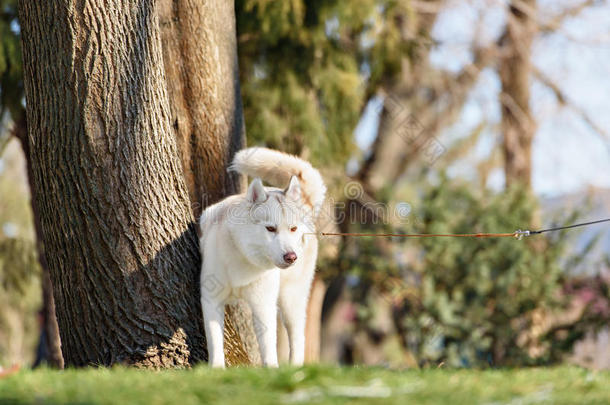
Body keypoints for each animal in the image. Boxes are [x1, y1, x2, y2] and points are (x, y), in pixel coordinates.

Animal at [198, 147, 324, 368]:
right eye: (270, 229)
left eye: (292, 229)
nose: (291, 256)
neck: (243, 258)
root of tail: (303, 205)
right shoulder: (211, 299)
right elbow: (215, 341)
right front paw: (216, 369)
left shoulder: (263, 305)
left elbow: (268, 345)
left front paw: (272, 369)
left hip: (290, 299)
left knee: (297, 336)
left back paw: (295, 368)